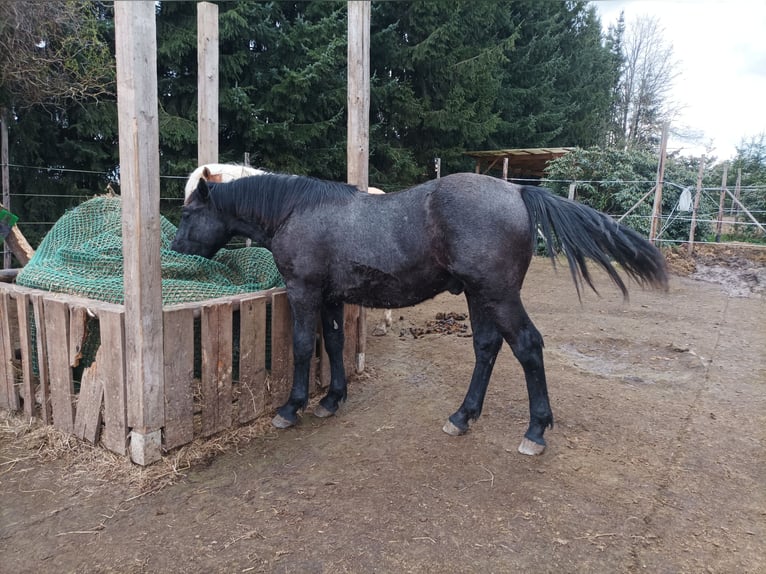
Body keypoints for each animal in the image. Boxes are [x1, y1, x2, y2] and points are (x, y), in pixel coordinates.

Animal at [172, 172, 667, 455]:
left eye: (188, 214)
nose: (175, 247)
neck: (299, 210)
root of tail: (516, 192)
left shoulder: (304, 291)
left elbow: (300, 346)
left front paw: (291, 407)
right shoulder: (331, 297)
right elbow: (332, 342)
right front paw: (332, 400)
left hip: (498, 295)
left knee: (527, 346)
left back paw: (535, 431)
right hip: (478, 296)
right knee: (487, 347)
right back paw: (462, 416)